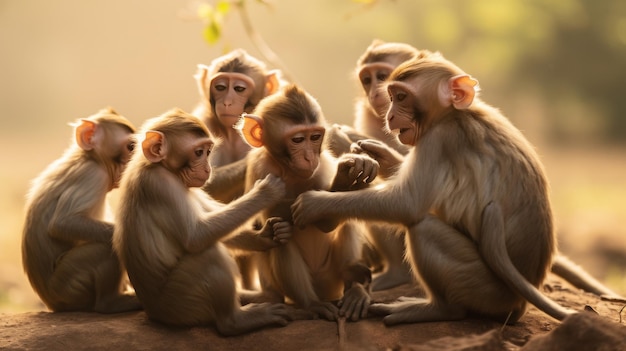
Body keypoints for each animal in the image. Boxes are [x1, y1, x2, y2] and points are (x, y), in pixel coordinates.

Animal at [21, 107, 141, 314]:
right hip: (68, 285)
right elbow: (63, 223)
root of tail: (51, 303)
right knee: (105, 246)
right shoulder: (92, 175)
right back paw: (111, 302)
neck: (88, 158)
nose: (132, 162)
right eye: (131, 147)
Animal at [113, 108, 294, 336]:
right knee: (208, 255)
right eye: (198, 152)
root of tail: (152, 311)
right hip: (180, 305)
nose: (208, 169)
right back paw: (237, 320)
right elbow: (196, 237)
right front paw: (265, 192)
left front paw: (266, 236)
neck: (158, 166)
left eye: (208, 152)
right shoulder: (161, 185)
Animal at [236, 85, 376, 322]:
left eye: (315, 137)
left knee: (346, 221)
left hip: (332, 276)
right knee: (281, 233)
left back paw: (354, 286)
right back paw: (311, 305)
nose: (310, 157)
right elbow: (273, 216)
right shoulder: (260, 168)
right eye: (298, 140)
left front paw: (348, 174)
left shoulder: (323, 166)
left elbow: (328, 224)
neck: (289, 171)